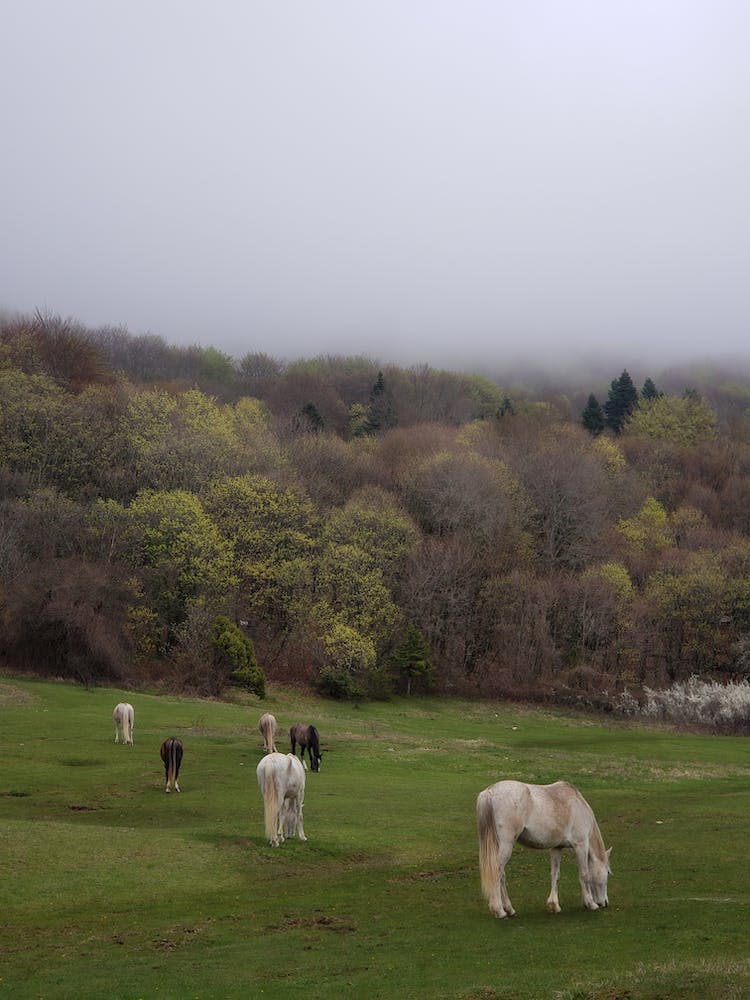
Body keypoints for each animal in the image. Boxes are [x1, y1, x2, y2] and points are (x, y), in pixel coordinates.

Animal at [478, 776, 612, 916]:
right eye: (608, 872)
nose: (605, 903)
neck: (577, 804)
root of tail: (490, 791)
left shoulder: (557, 848)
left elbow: (555, 874)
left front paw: (554, 905)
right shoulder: (581, 845)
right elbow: (584, 874)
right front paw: (590, 904)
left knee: (502, 875)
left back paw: (509, 909)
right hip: (506, 845)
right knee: (497, 872)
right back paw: (499, 910)